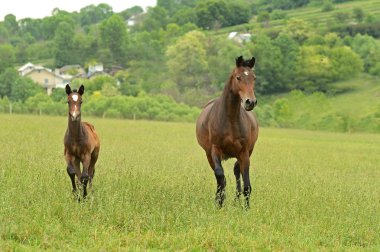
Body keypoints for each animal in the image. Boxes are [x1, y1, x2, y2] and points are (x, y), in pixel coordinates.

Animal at [196, 56, 258, 208]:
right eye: (238, 77)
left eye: (254, 78)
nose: (250, 102)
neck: (230, 119)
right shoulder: (215, 150)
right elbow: (220, 176)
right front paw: (219, 203)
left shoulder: (244, 153)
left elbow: (247, 185)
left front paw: (246, 208)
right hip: (209, 155)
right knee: (220, 176)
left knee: (236, 170)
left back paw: (236, 200)